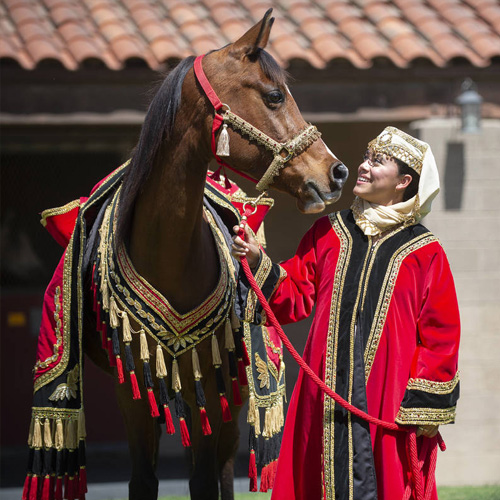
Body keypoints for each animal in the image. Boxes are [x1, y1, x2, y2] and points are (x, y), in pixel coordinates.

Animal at [26, 7, 348, 500]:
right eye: (275, 96)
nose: (336, 173)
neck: (169, 252)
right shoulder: (132, 383)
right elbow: (143, 479)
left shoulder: (211, 383)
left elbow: (203, 479)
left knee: (220, 469)